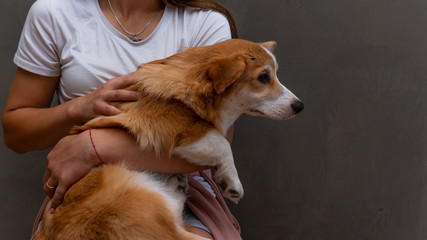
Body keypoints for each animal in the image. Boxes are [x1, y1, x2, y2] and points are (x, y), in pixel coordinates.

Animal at [33, 38, 304, 239]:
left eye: (275, 74)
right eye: (263, 78)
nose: (300, 106)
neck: (191, 80)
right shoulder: (169, 129)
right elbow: (221, 142)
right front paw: (232, 182)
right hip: (138, 197)